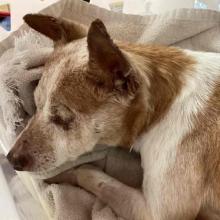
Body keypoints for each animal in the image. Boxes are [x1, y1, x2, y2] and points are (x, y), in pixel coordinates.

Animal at [6, 14, 220, 220]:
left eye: (62, 118)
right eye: (36, 105)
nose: (10, 159)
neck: (160, 109)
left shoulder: (157, 213)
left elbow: (86, 172)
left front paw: (60, 176)